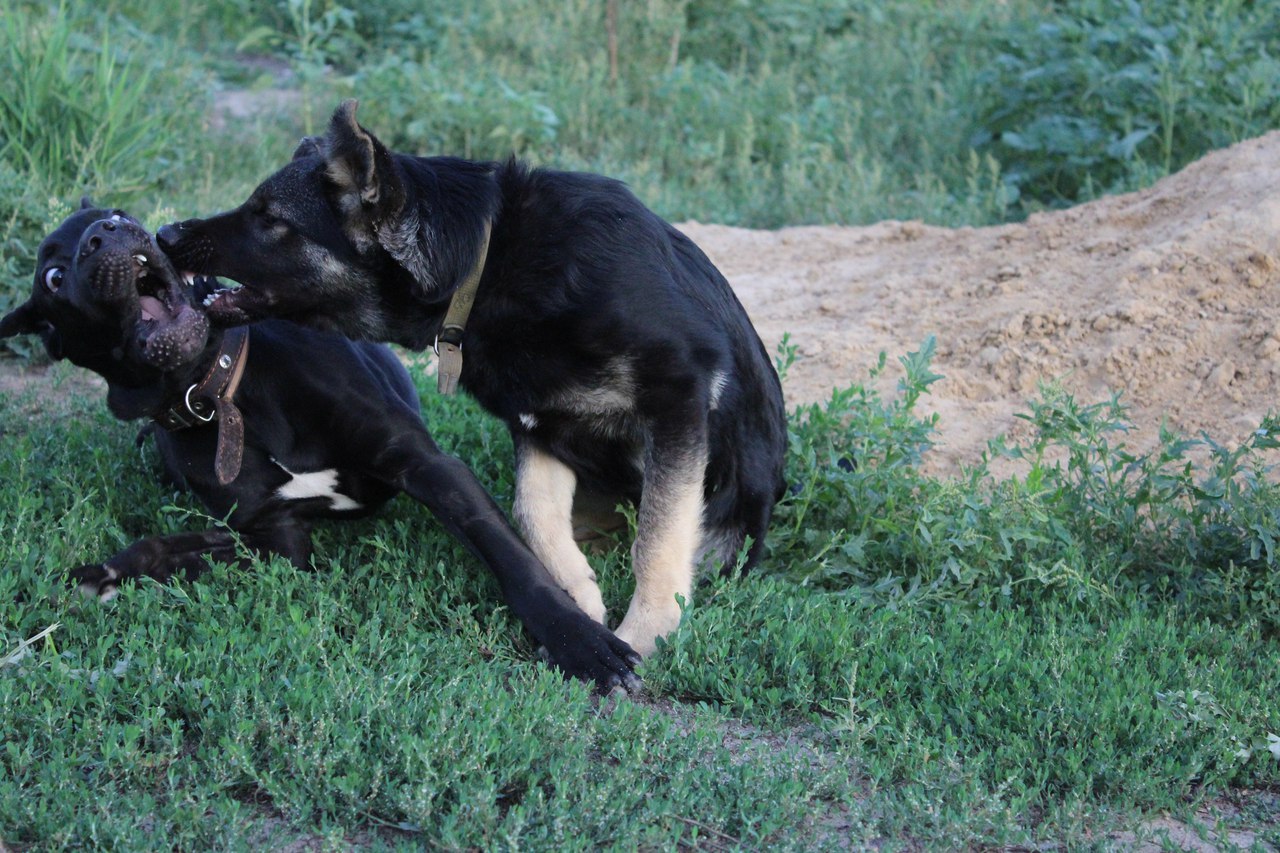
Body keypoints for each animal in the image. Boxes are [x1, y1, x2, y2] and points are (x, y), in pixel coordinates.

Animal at [0, 201, 640, 691]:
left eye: (116, 215)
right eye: (53, 277)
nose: (106, 233)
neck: (222, 390)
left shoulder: (428, 465)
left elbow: (514, 560)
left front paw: (581, 642)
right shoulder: (273, 536)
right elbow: (165, 547)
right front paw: (106, 574)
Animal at [154, 101, 783, 655]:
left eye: (269, 218)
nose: (164, 234)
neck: (486, 265)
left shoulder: (678, 396)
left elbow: (657, 534)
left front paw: (647, 631)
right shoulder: (539, 425)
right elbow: (533, 515)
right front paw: (576, 604)